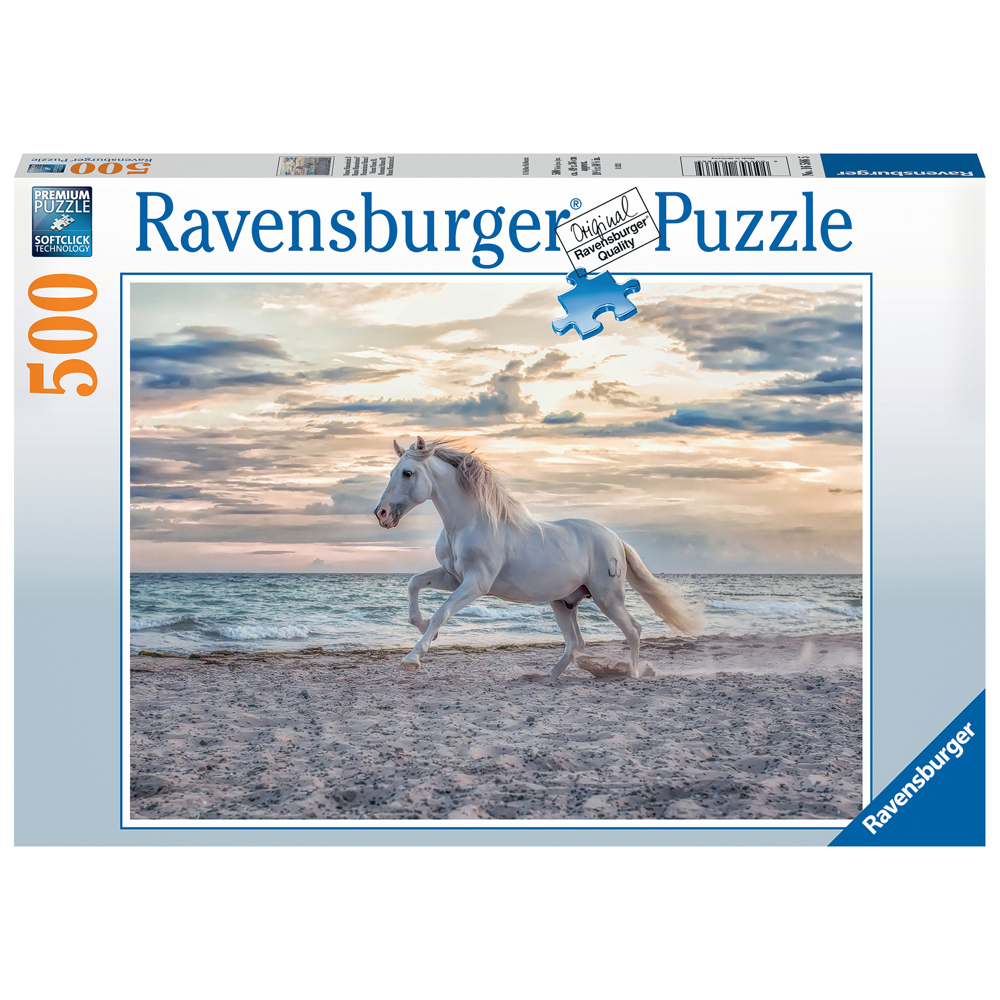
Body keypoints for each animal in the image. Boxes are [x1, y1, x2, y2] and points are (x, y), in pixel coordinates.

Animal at [374, 437, 703, 677]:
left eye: (407, 473)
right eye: (391, 473)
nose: (382, 514)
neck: (470, 523)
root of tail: (615, 539)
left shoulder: (476, 583)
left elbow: (442, 612)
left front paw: (413, 657)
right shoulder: (452, 577)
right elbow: (414, 585)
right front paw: (424, 630)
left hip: (607, 598)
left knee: (633, 630)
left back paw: (632, 674)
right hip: (563, 602)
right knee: (576, 643)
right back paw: (547, 676)